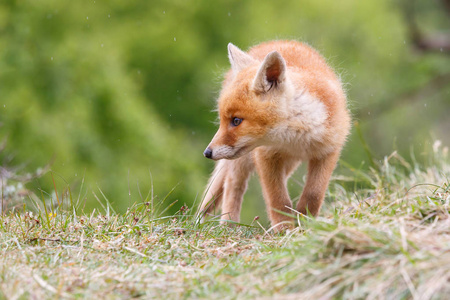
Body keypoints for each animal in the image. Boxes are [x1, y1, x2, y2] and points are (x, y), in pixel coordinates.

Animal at [199, 40, 350, 232]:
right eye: (223, 121)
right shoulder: (266, 156)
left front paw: (305, 222)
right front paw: (284, 229)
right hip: (243, 161)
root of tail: (273, 42)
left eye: (236, 120)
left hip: (288, 163)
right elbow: (277, 199)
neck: (296, 137)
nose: (207, 153)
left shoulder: (328, 151)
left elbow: (313, 194)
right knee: (233, 185)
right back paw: (229, 225)